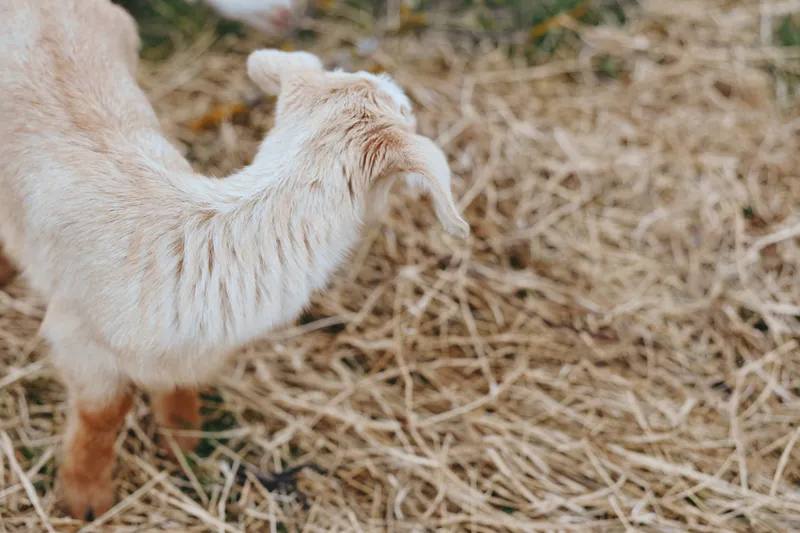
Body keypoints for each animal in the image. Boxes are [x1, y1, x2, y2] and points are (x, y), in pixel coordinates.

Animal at [0, 0, 468, 520]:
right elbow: (101, 418)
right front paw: (85, 501)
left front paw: (185, 447)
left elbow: (180, 390)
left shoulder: (191, 350)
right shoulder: (81, 343)